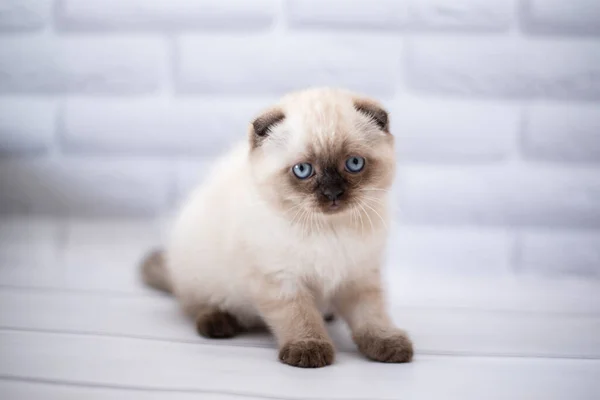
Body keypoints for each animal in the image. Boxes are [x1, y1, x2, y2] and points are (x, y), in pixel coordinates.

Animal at [141, 88, 412, 368]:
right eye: (303, 170)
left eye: (355, 164)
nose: (332, 194)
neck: (328, 229)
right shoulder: (282, 280)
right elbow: (300, 317)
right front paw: (309, 350)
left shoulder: (360, 277)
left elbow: (372, 317)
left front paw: (387, 344)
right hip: (201, 275)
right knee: (195, 305)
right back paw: (218, 323)